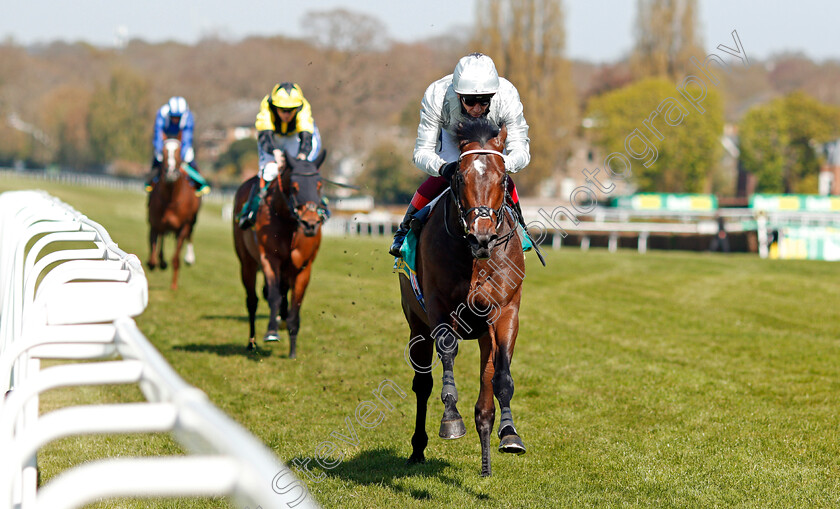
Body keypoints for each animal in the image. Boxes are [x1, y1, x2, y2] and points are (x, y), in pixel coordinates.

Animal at [147, 135, 201, 290]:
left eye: (178, 151)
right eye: (164, 151)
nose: (170, 172)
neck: (171, 198)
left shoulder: (183, 226)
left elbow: (176, 258)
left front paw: (174, 285)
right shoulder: (155, 223)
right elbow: (152, 255)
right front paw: (157, 262)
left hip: (191, 221)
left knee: (189, 236)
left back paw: (189, 258)